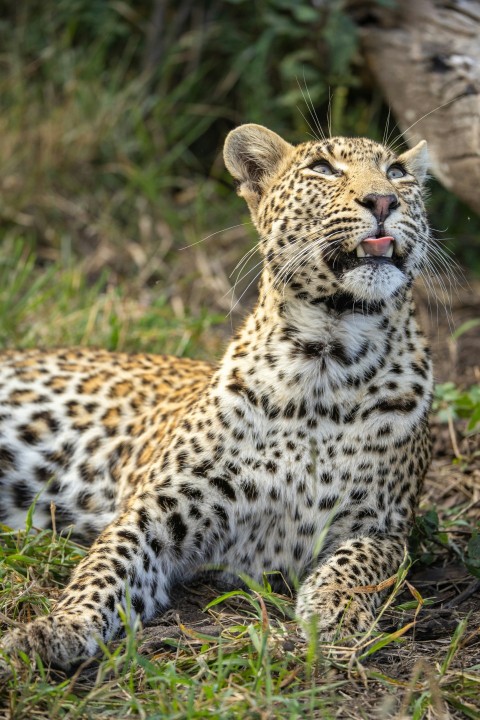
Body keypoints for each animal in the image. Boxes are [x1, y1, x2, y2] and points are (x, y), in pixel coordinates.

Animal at [0, 123, 433, 671]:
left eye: (396, 172)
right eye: (322, 168)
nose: (383, 200)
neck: (326, 359)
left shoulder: (385, 527)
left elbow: (359, 563)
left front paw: (333, 608)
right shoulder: (157, 508)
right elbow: (106, 564)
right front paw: (58, 625)